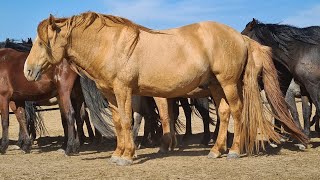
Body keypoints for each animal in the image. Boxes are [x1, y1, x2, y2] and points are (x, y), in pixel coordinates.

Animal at [23, 11, 308, 165]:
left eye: (42, 42)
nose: (27, 71)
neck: (110, 45)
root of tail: (240, 37)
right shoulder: (111, 94)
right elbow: (118, 123)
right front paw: (118, 153)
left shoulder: (124, 90)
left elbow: (127, 121)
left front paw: (127, 155)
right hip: (216, 87)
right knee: (225, 112)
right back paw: (216, 150)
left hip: (227, 83)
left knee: (236, 111)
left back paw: (235, 151)